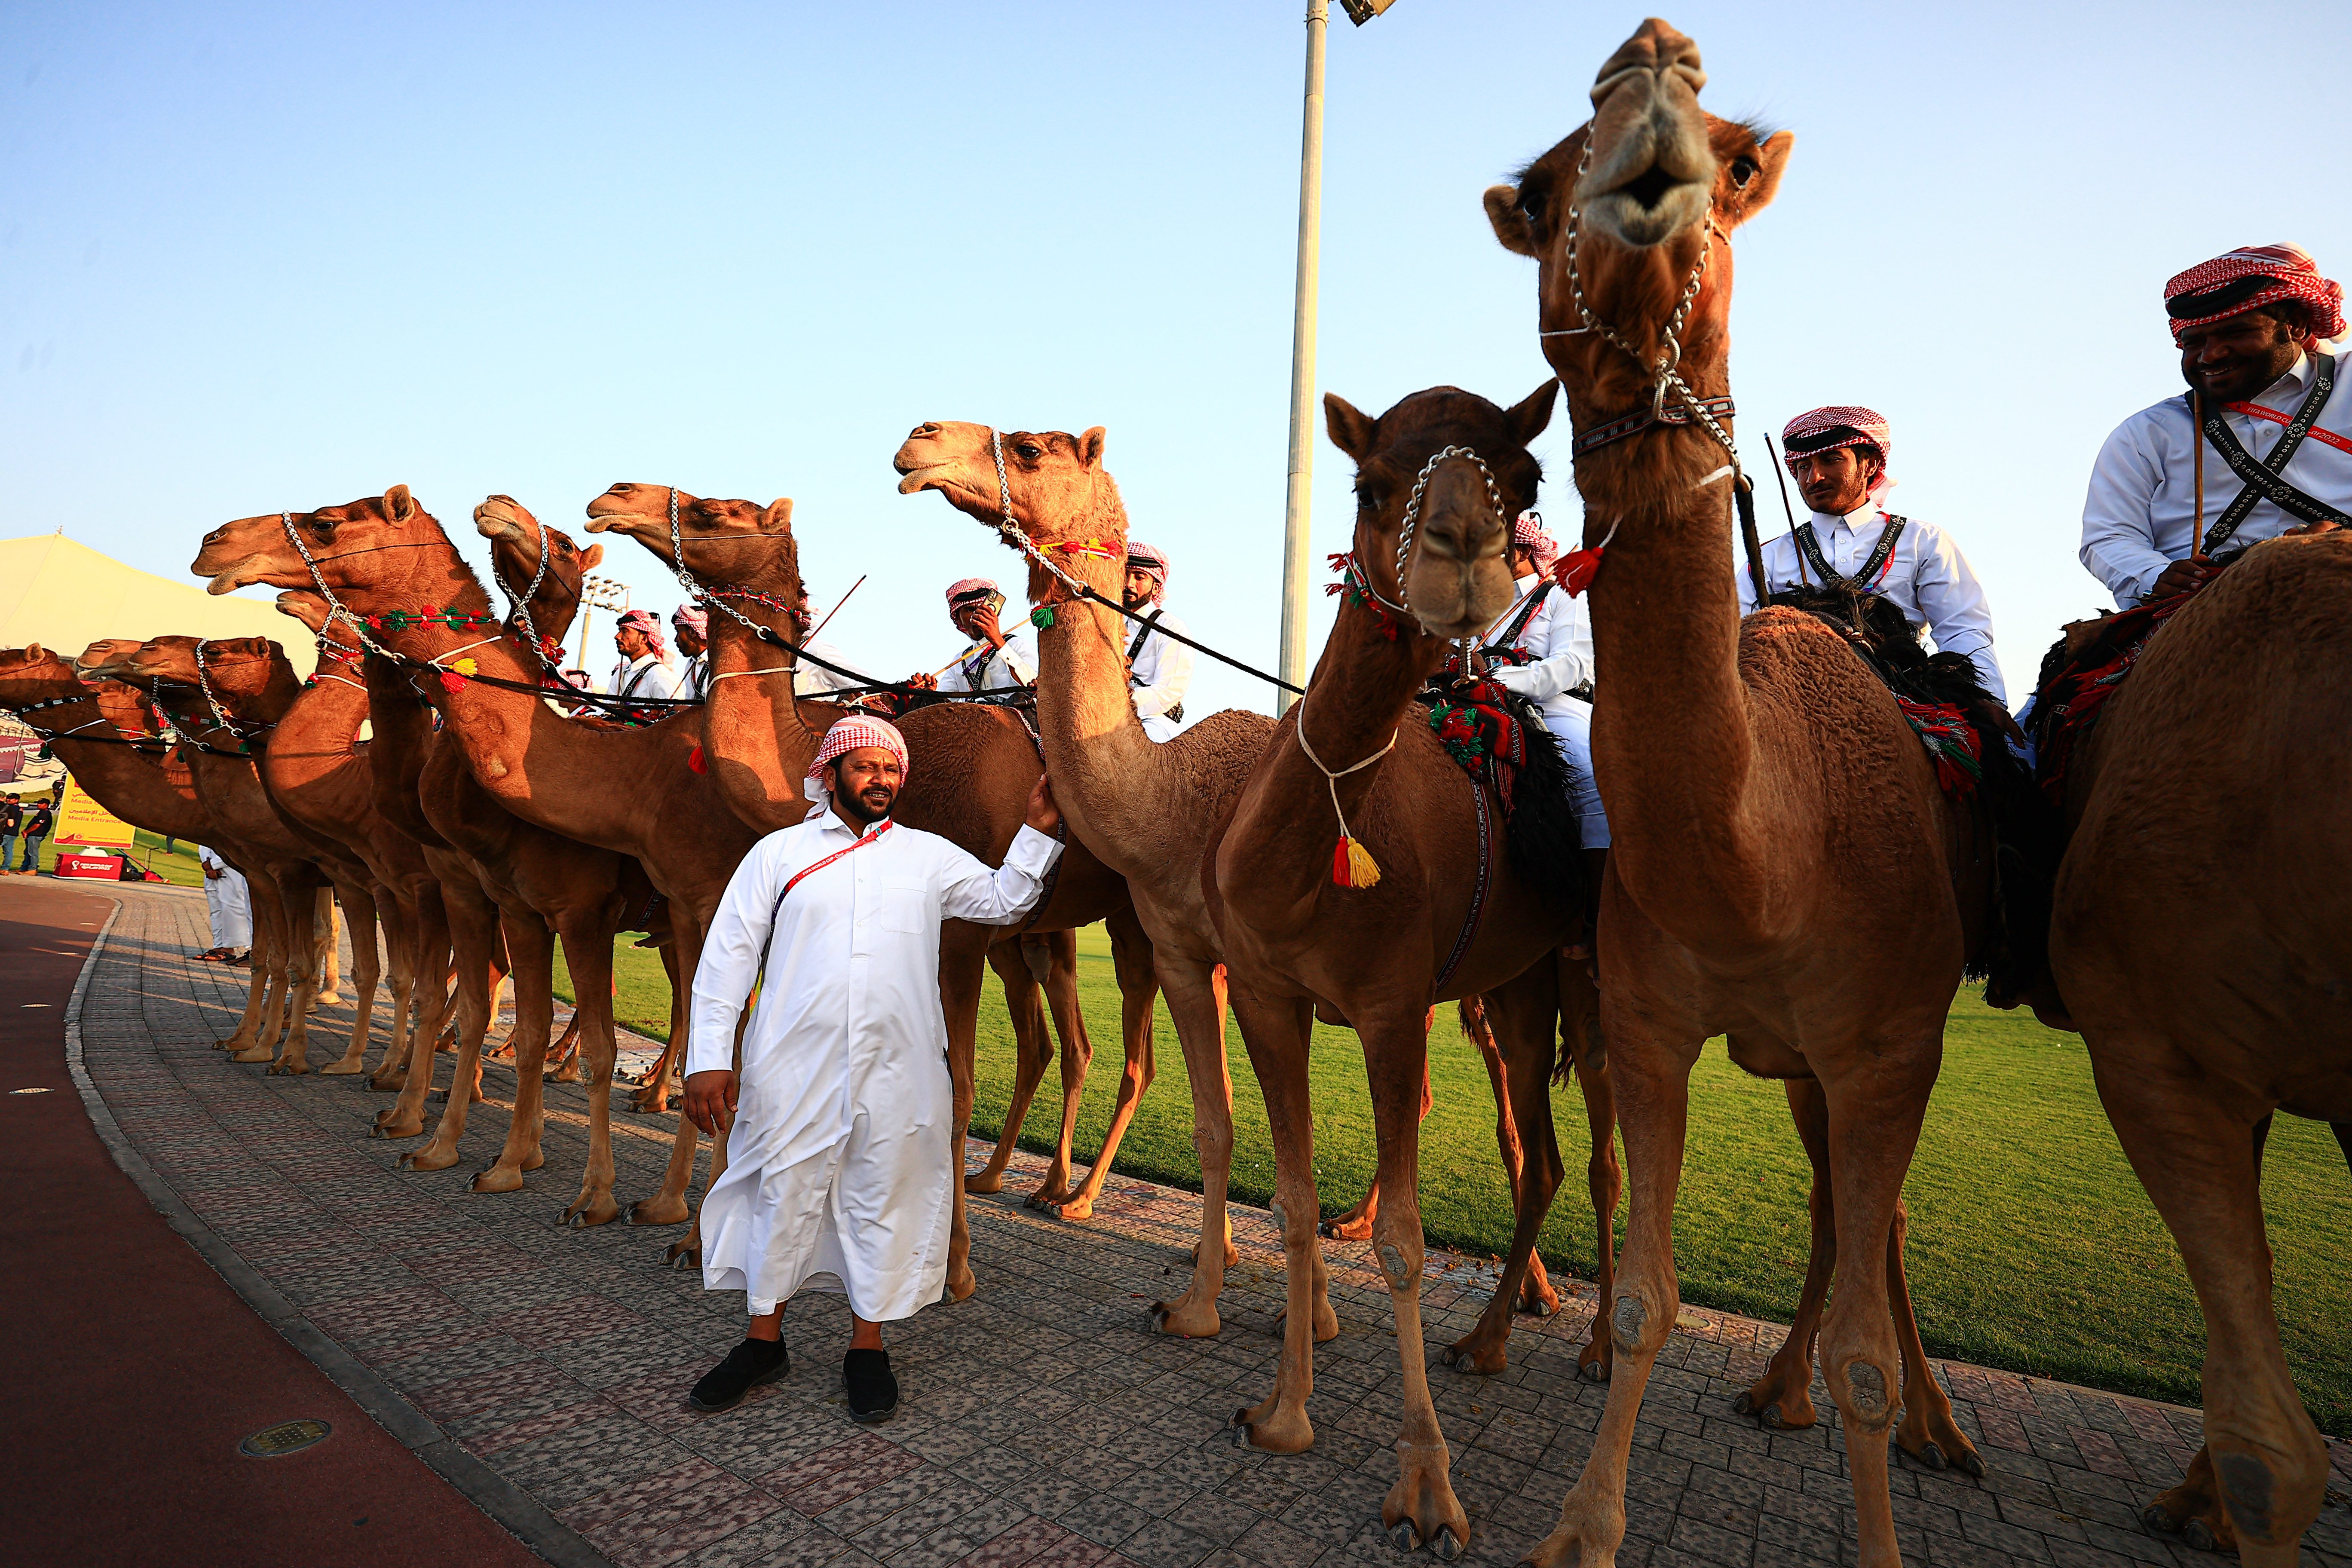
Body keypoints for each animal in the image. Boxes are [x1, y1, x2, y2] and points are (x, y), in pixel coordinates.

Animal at [196, 484, 757, 1231]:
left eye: (326, 523)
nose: (217, 542)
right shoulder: (479, 895)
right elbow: (471, 1007)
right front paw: (465, 1144)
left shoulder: (562, 906)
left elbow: (484, 1006)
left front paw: (588, 1191)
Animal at [583, 487, 1171, 1288]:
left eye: (714, 512)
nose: (611, 500)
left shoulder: (959, 937)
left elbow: (955, 1088)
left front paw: (951, 1268)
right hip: (1042, 934)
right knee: (1067, 1044)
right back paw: (1024, 1182)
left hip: (1142, 922)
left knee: (1149, 1056)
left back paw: (1087, 1202)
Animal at [1477, 18, 1994, 1561]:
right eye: (1541, 182)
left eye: (1740, 154)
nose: (1652, 53)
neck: (1769, 858)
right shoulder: (1650, 1021)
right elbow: (1649, 1295)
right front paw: (1581, 1525)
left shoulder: (1889, 1041)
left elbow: (1871, 1334)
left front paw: (1884, 1496)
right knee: (1833, 1208)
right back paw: (1776, 1386)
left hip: (1875, 1049)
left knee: (1874, 1230)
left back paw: (1924, 1421)